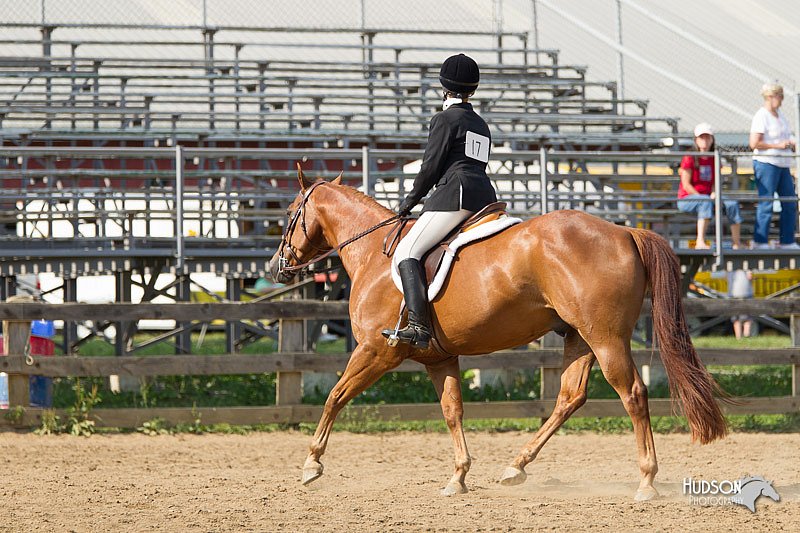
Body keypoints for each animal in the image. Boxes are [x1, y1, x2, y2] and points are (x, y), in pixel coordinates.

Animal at [270, 168, 732, 500]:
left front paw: (311, 464)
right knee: (570, 397)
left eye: (290, 213)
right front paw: (458, 477)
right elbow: (452, 410)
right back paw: (516, 467)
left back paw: (646, 482)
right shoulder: (439, 357)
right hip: (580, 337)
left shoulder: (376, 351)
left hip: (606, 338)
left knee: (632, 393)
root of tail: (625, 231)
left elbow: (335, 396)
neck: (374, 253)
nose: (277, 266)